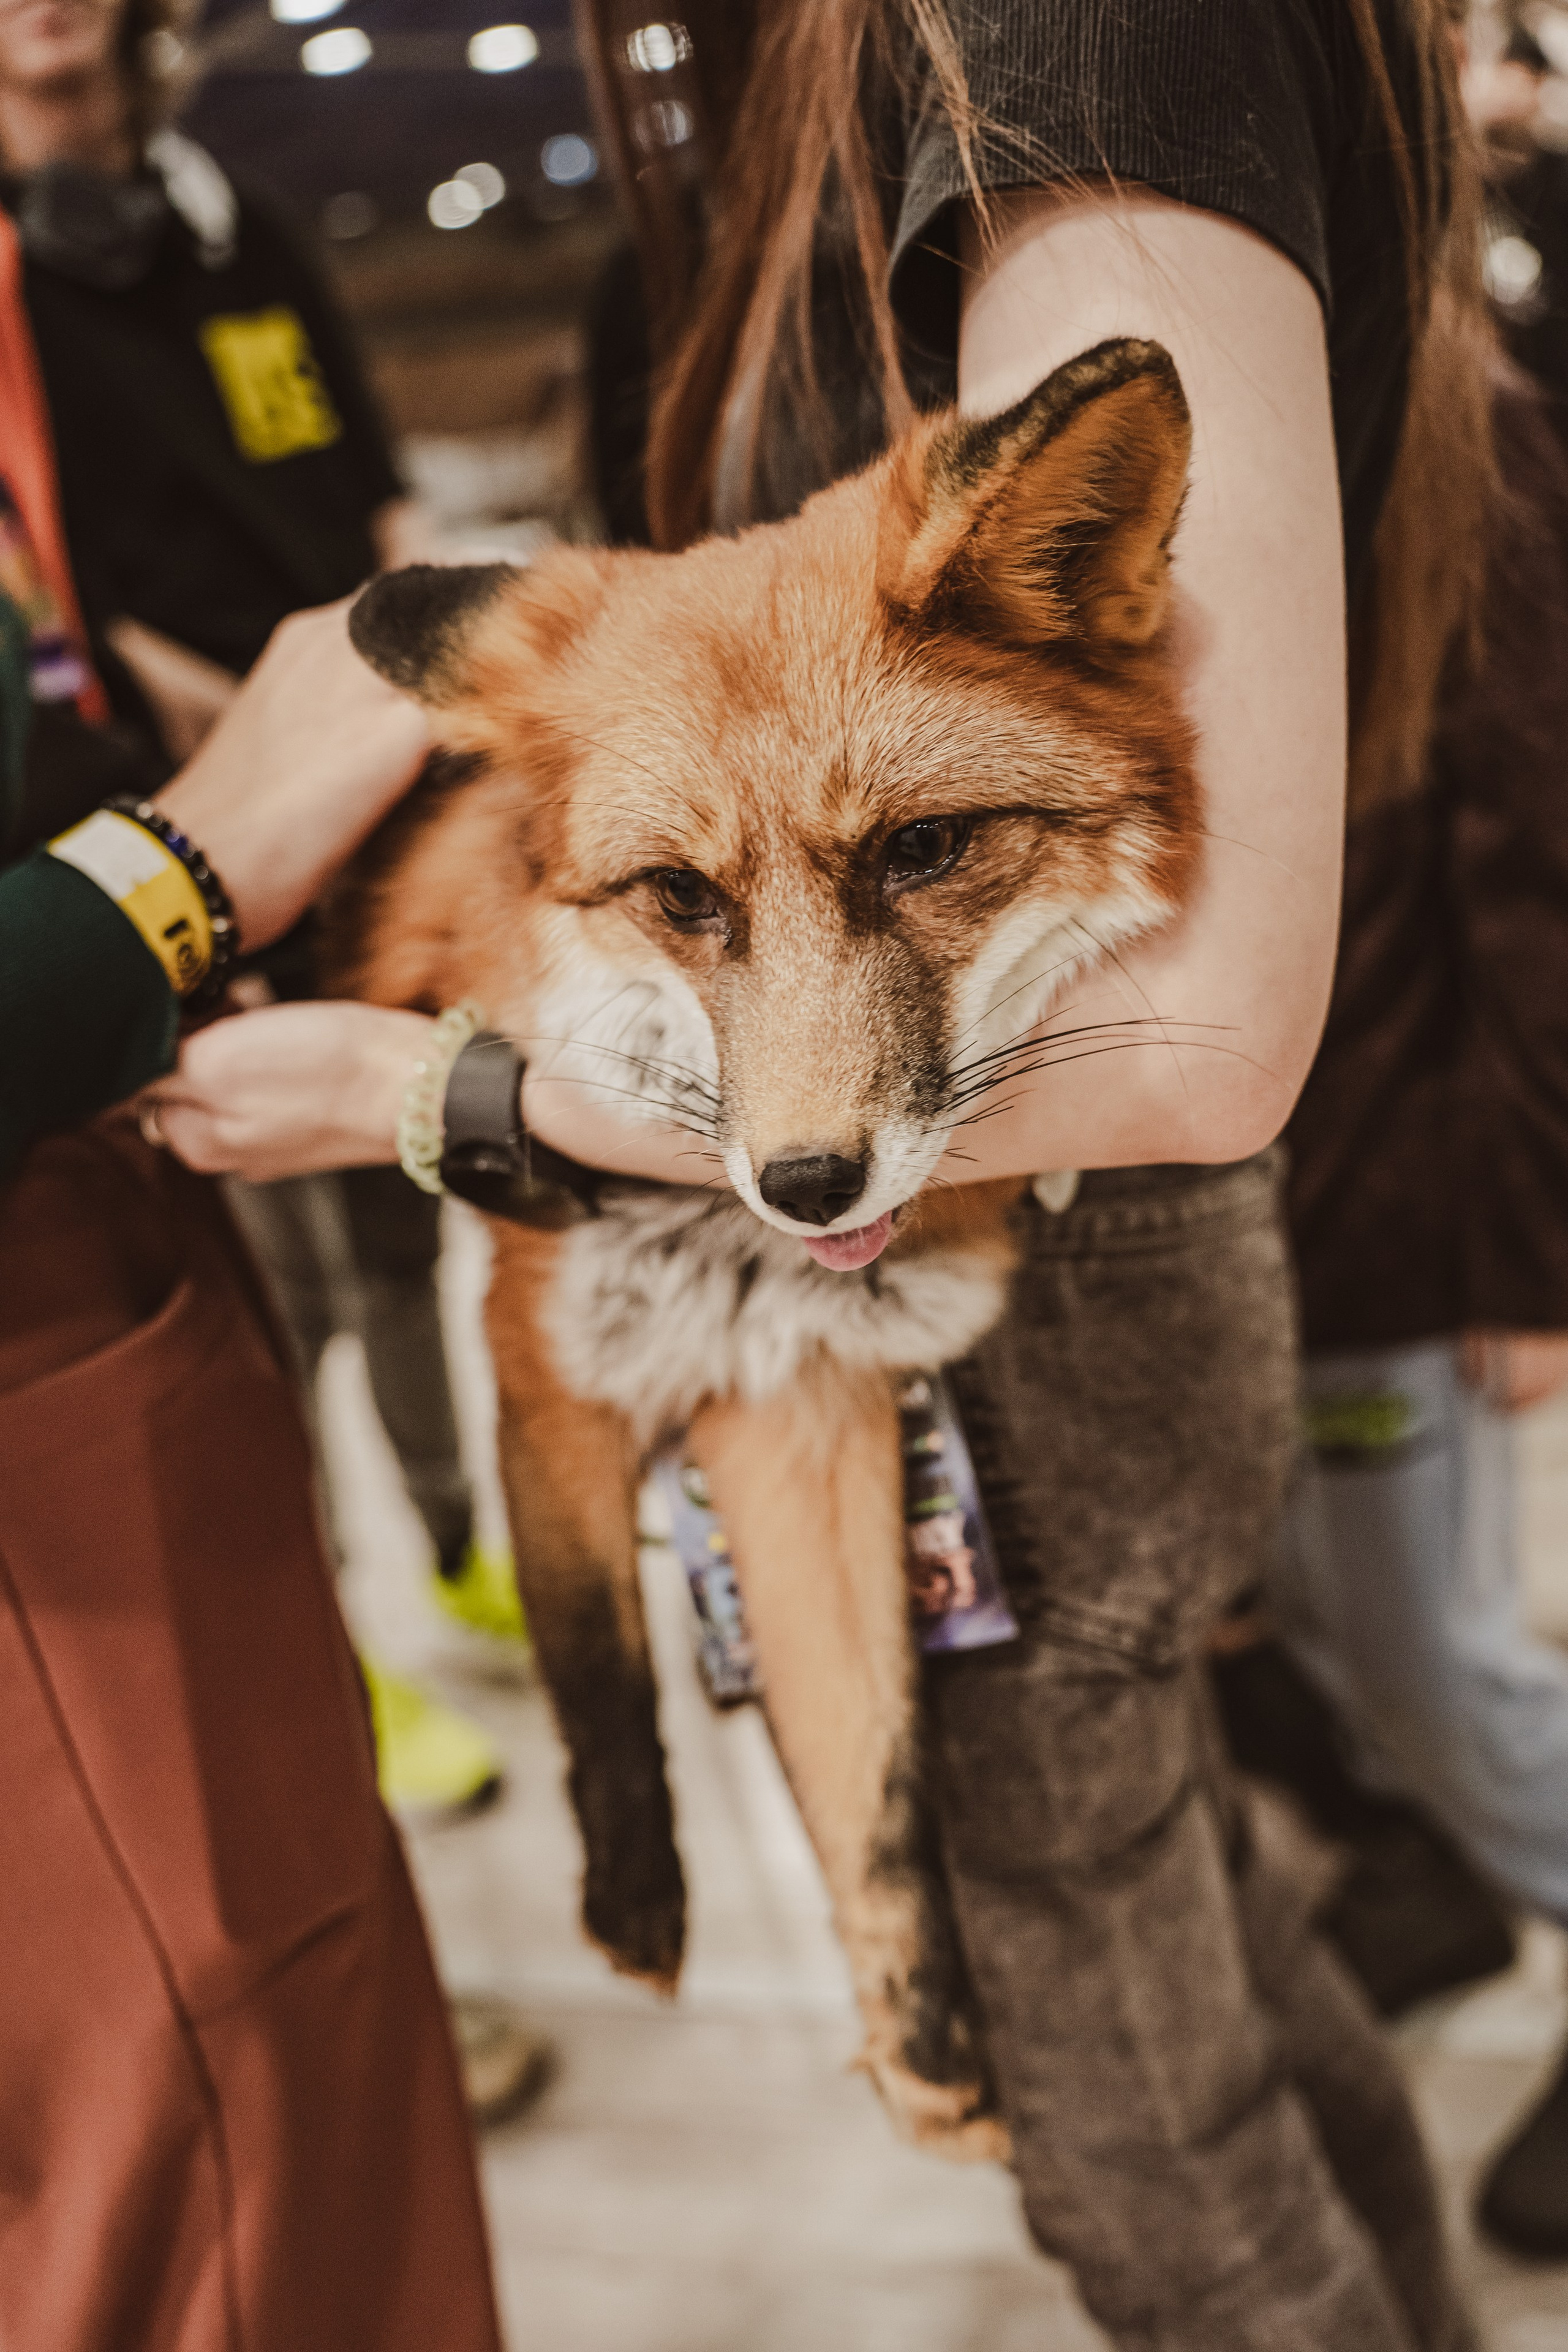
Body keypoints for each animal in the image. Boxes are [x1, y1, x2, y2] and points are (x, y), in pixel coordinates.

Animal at [339, 336, 1200, 2159]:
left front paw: (927, 2037)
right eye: (682, 897)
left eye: (921, 851)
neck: (737, 1275)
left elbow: (870, 1771)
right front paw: (633, 1902)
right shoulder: (547, 1355)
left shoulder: (806, 1410)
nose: (807, 1181)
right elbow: (595, 1644)